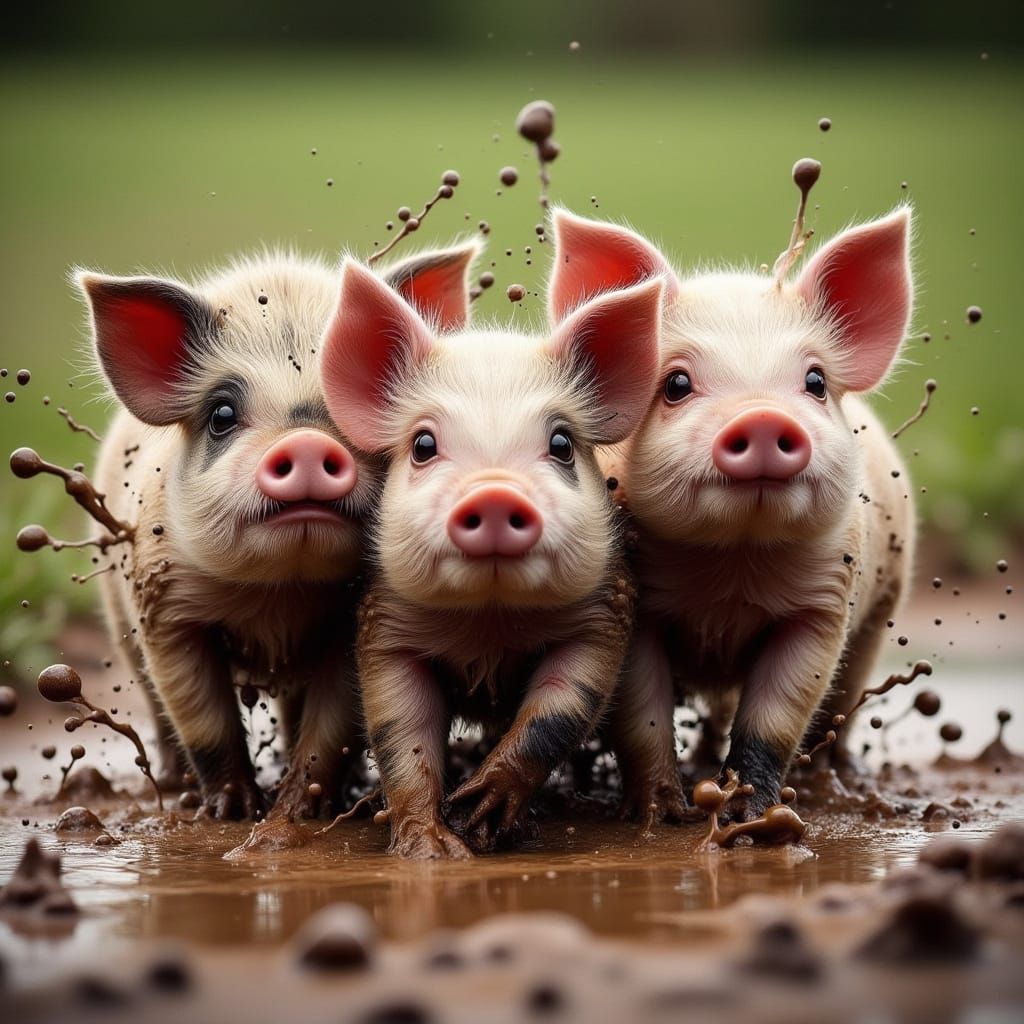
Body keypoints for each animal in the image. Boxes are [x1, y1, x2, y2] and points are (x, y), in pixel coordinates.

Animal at [78, 242, 480, 820]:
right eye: (221, 414)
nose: (307, 441)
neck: (279, 598)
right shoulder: (164, 609)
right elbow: (203, 719)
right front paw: (231, 811)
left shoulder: (349, 626)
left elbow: (332, 727)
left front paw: (302, 810)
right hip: (118, 618)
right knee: (156, 707)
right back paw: (174, 785)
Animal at [319, 259, 664, 857]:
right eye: (423, 445)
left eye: (562, 444)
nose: (496, 491)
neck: (490, 623)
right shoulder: (384, 624)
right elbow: (402, 735)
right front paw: (437, 850)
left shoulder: (604, 613)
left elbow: (557, 710)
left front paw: (480, 818)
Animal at [548, 206, 916, 822]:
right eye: (676, 383)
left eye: (815, 382)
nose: (762, 416)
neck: (732, 572)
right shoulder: (636, 608)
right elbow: (643, 715)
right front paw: (662, 816)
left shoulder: (824, 606)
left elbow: (777, 716)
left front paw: (752, 816)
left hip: (880, 614)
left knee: (841, 706)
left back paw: (843, 778)